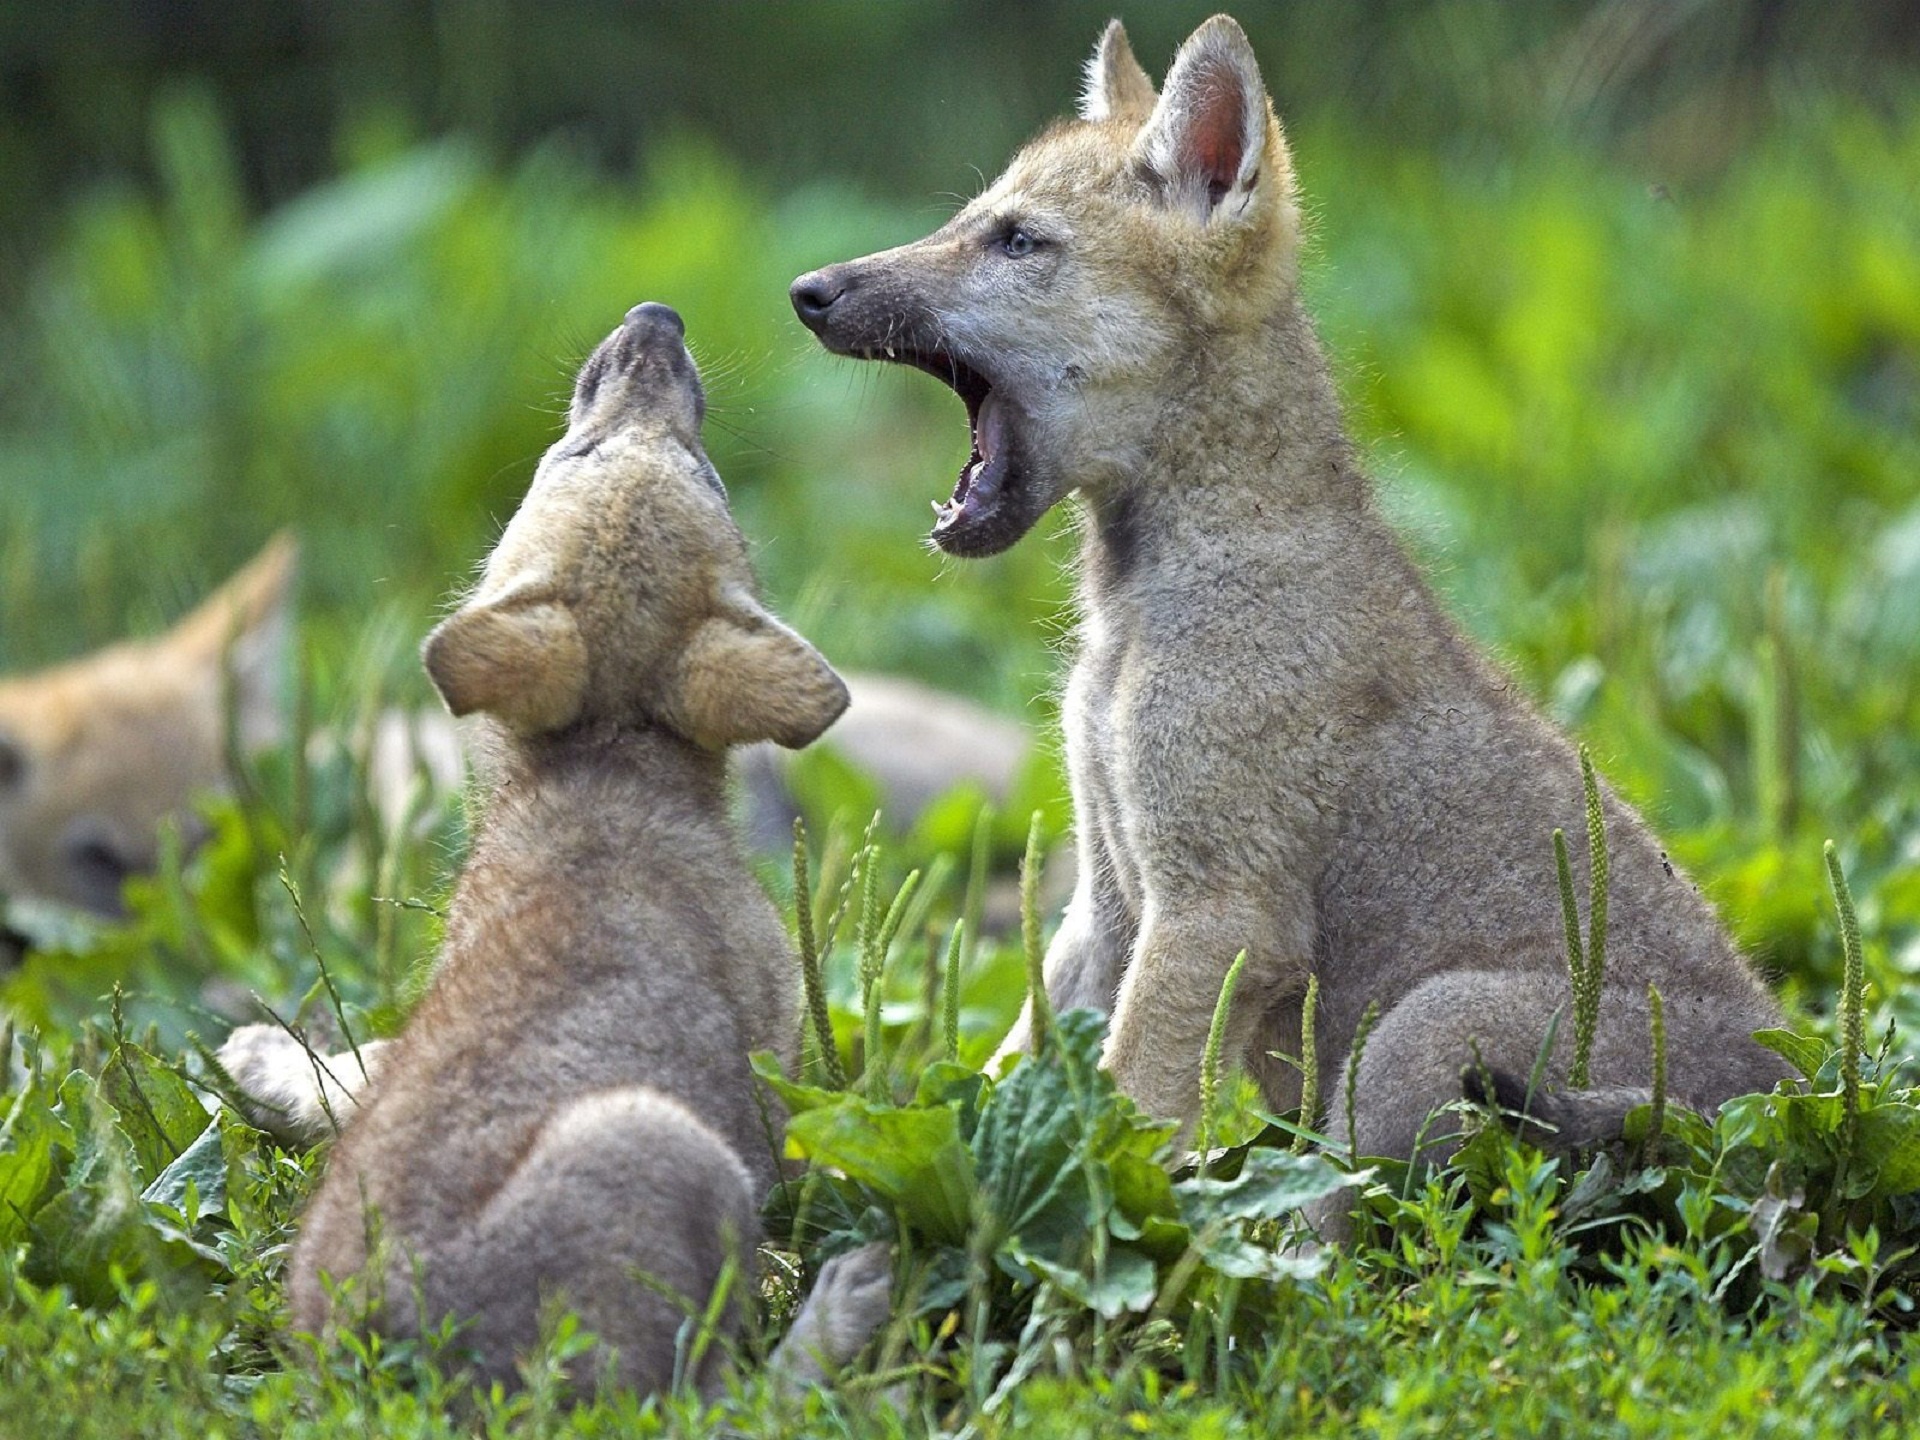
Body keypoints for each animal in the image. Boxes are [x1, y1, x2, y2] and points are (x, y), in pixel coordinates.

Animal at [222, 301, 890, 1397]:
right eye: (577, 451)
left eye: (699, 465)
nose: (656, 319)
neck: (608, 758)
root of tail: (393, 1364)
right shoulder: (780, 1080)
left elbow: (364, 1064)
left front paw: (266, 1058)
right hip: (669, 1155)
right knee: (727, 1397)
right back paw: (847, 1307)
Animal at [791, 16, 1781, 1221]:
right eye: (972, 218)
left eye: (1018, 241)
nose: (808, 290)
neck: (1140, 610)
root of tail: (1781, 1103)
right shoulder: (1106, 904)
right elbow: (1013, 1071)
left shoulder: (1218, 912)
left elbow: (1124, 1118)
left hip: (1415, 1038)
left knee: (1345, 1222)